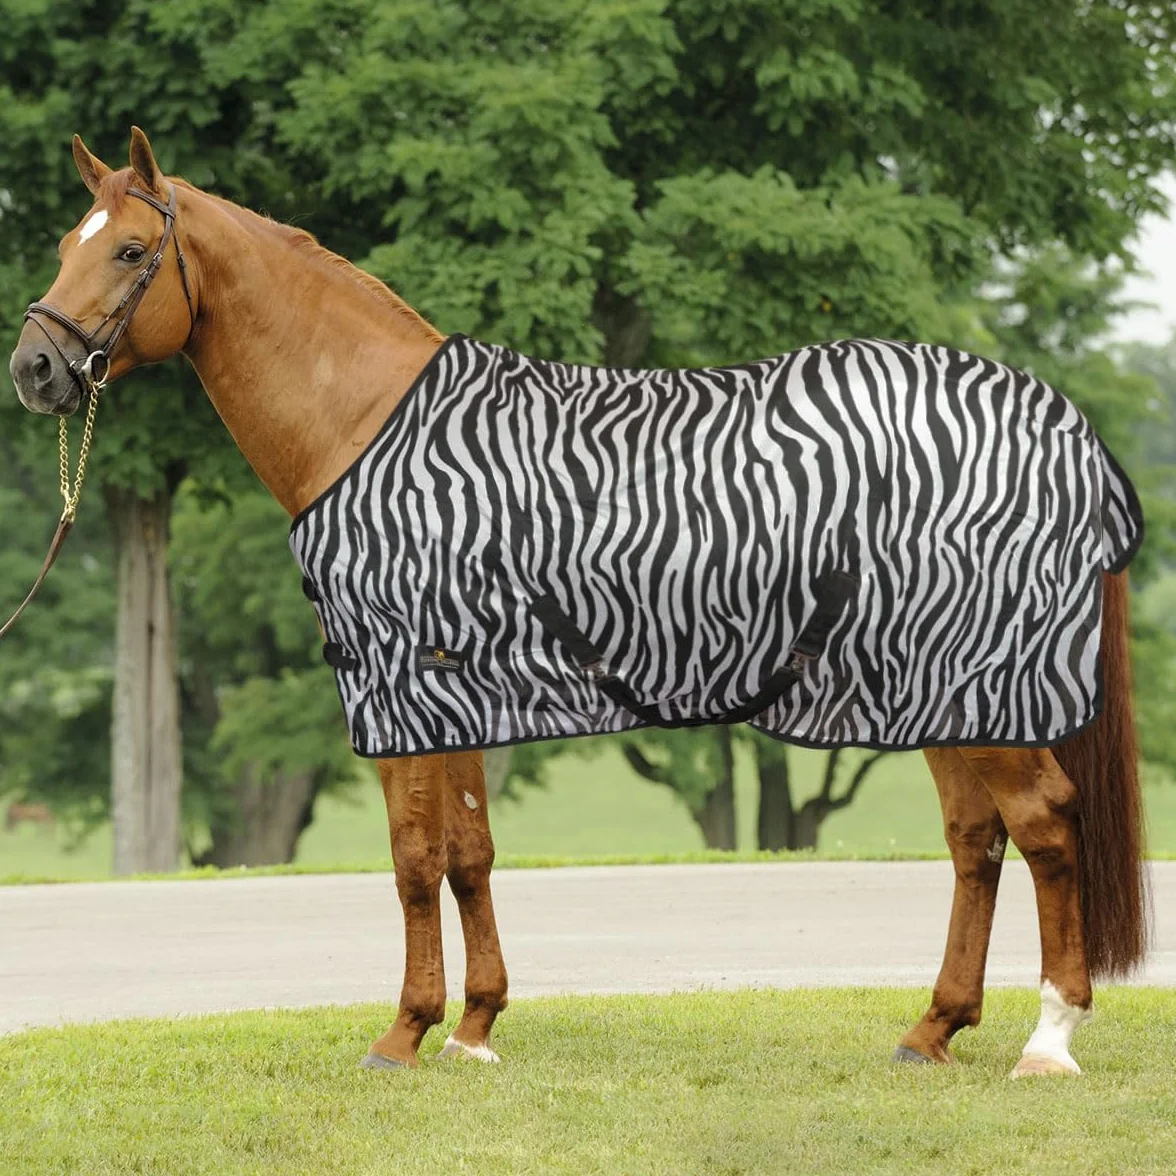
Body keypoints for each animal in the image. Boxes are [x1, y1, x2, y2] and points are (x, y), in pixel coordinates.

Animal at [9, 128, 1146, 1078]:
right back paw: (933, 1028)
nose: (34, 368)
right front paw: (473, 1027)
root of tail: (1061, 430)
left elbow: (413, 860)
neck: (370, 427)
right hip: (935, 686)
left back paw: (1048, 1041)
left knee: (1043, 825)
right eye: (66, 241)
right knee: (975, 838)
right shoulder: (456, 688)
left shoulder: (398, 682)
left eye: (128, 253)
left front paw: (402, 1034)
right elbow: (468, 854)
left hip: (973, 678)